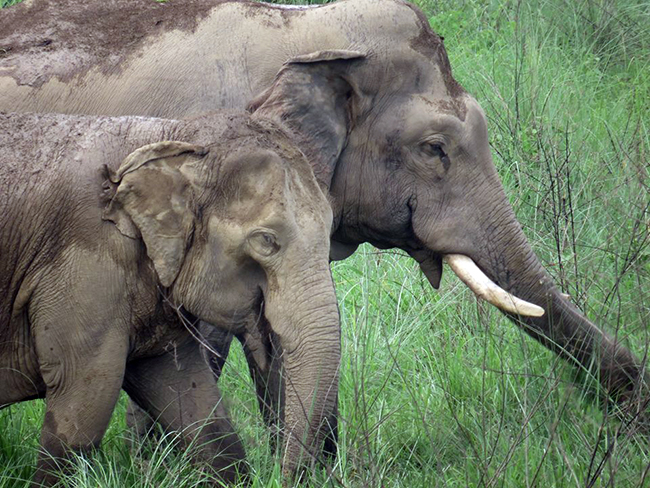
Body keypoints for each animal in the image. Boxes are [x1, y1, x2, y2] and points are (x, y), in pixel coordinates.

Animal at [0, 111, 342, 484]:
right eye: (267, 241)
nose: (283, 474)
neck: (175, 138)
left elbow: (192, 402)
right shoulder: (84, 263)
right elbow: (83, 404)